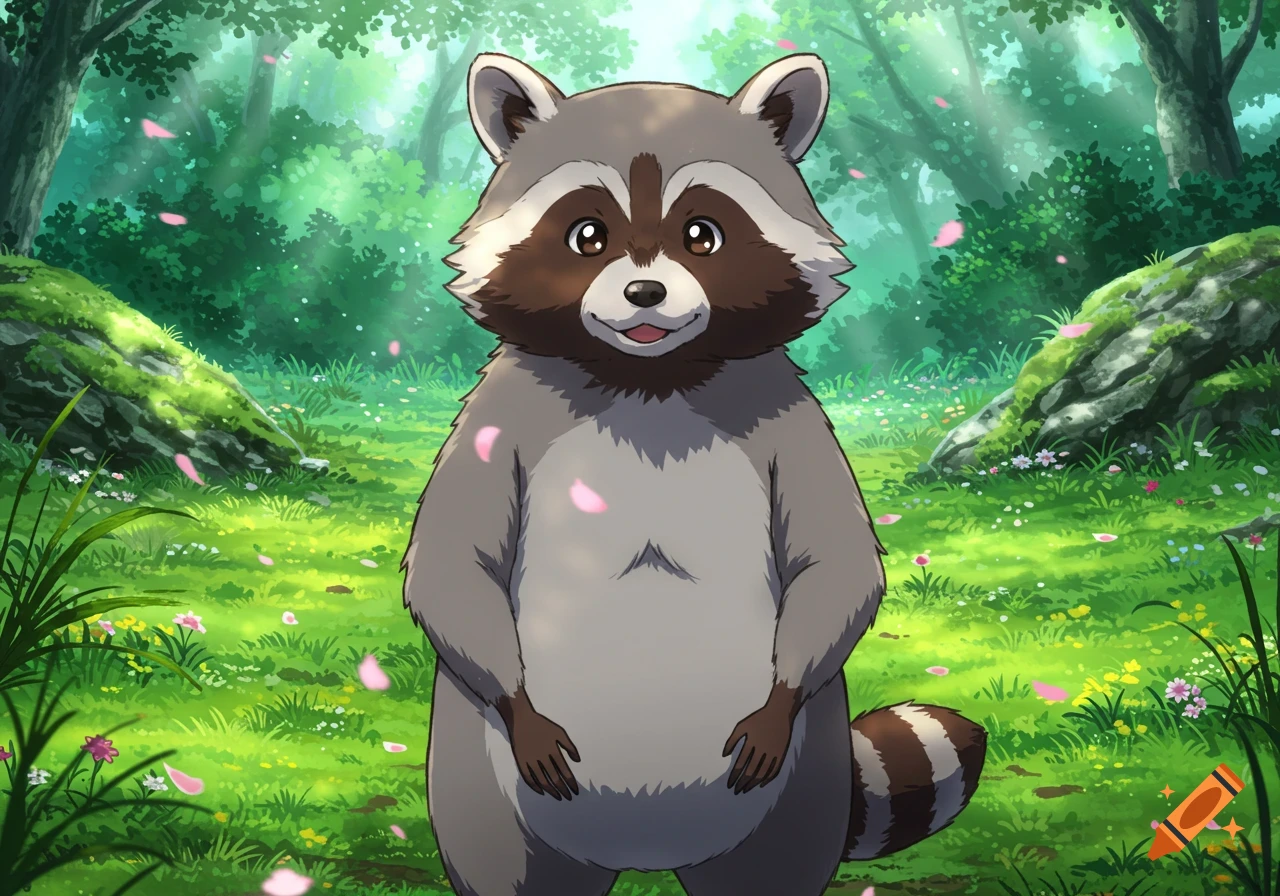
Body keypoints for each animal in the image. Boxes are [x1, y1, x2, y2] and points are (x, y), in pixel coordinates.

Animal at [401, 52, 987, 896]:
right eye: (588, 235)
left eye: (701, 235)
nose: (645, 292)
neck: (649, 376)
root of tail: (646, 852)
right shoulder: (497, 419)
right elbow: (452, 566)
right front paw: (518, 704)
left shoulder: (789, 418)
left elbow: (836, 562)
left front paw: (781, 692)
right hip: (478, 780)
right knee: (509, 866)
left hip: (801, 785)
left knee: (773, 868)